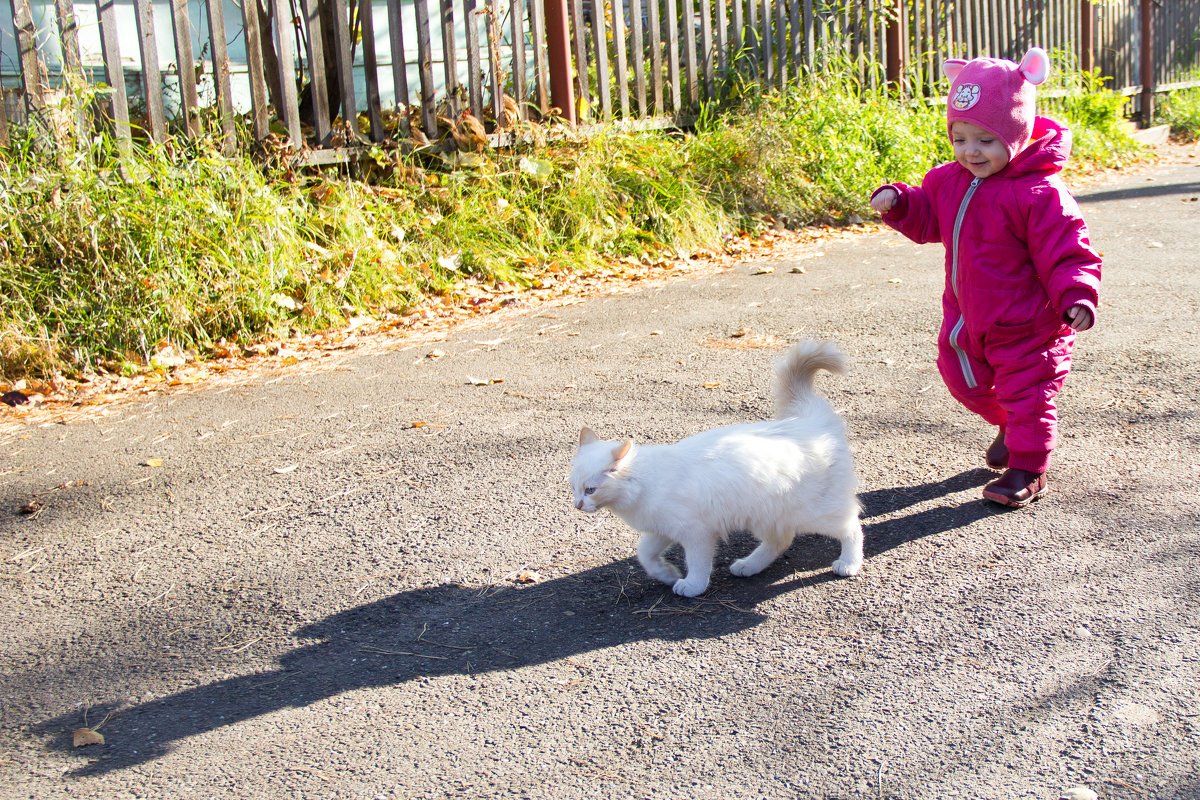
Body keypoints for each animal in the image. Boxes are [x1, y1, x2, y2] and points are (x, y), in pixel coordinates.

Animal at [568, 338, 864, 594]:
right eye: (574, 488)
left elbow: (698, 565)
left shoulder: (696, 533)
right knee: (780, 541)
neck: (645, 482)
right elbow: (645, 555)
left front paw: (691, 586)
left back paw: (849, 563)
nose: (578, 505)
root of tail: (811, 421)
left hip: (813, 512)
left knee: (852, 526)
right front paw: (667, 574)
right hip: (766, 516)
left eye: (591, 490)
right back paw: (748, 566)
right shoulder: (662, 529)